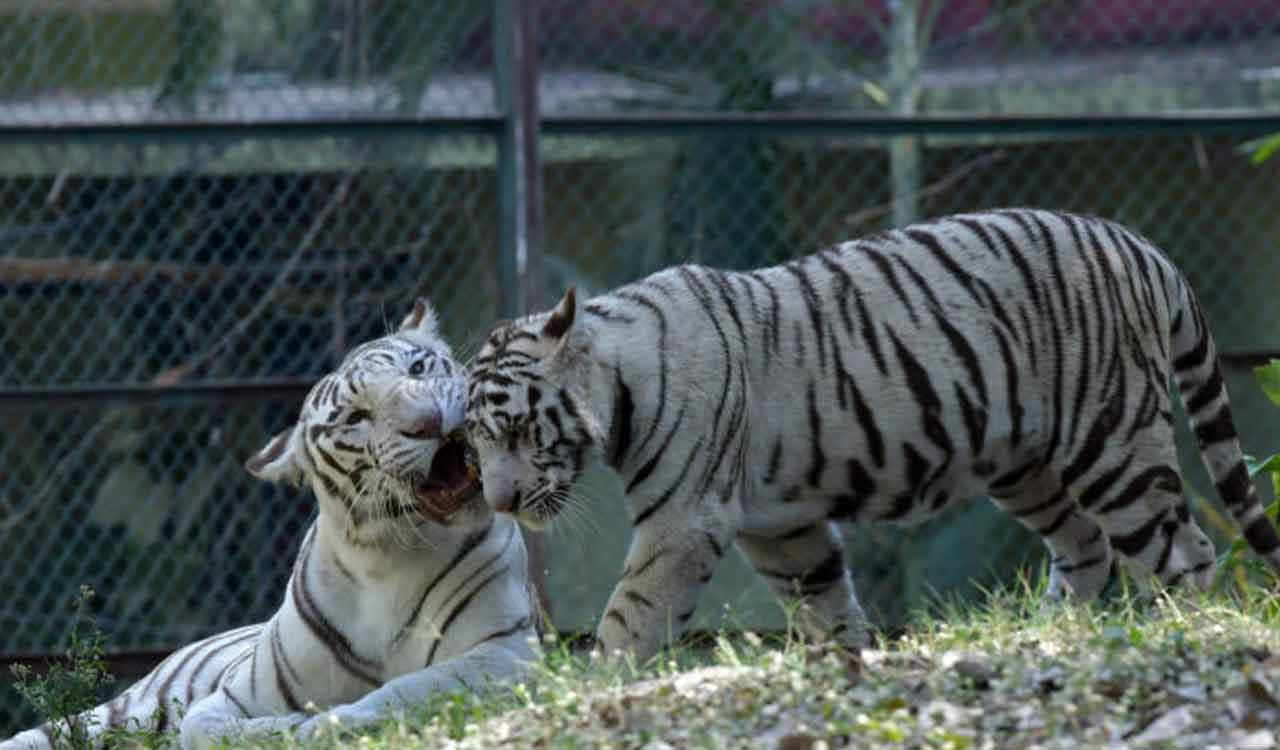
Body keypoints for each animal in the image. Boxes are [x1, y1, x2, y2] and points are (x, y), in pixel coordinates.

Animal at [0, 298, 535, 747]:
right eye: (356, 416)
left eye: (418, 367)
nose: (427, 421)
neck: (389, 559)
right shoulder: (235, 695)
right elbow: (204, 727)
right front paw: (292, 726)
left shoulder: (504, 650)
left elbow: (408, 688)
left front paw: (331, 723)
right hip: (113, 714)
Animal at [465, 204, 1280, 660]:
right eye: (474, 447)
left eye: (516, 432)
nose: (500, 503)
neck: (617, 379)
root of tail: (1142, 246)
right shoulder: (782, 526)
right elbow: (823, 601)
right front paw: (846, 663)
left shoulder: (683, 521)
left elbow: (632, 610)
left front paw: (592, 685)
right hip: (1025, 463)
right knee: (1086, 547)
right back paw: (1047, 633)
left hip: (1111, 441)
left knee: (1183, 550)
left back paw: (1186, 632)